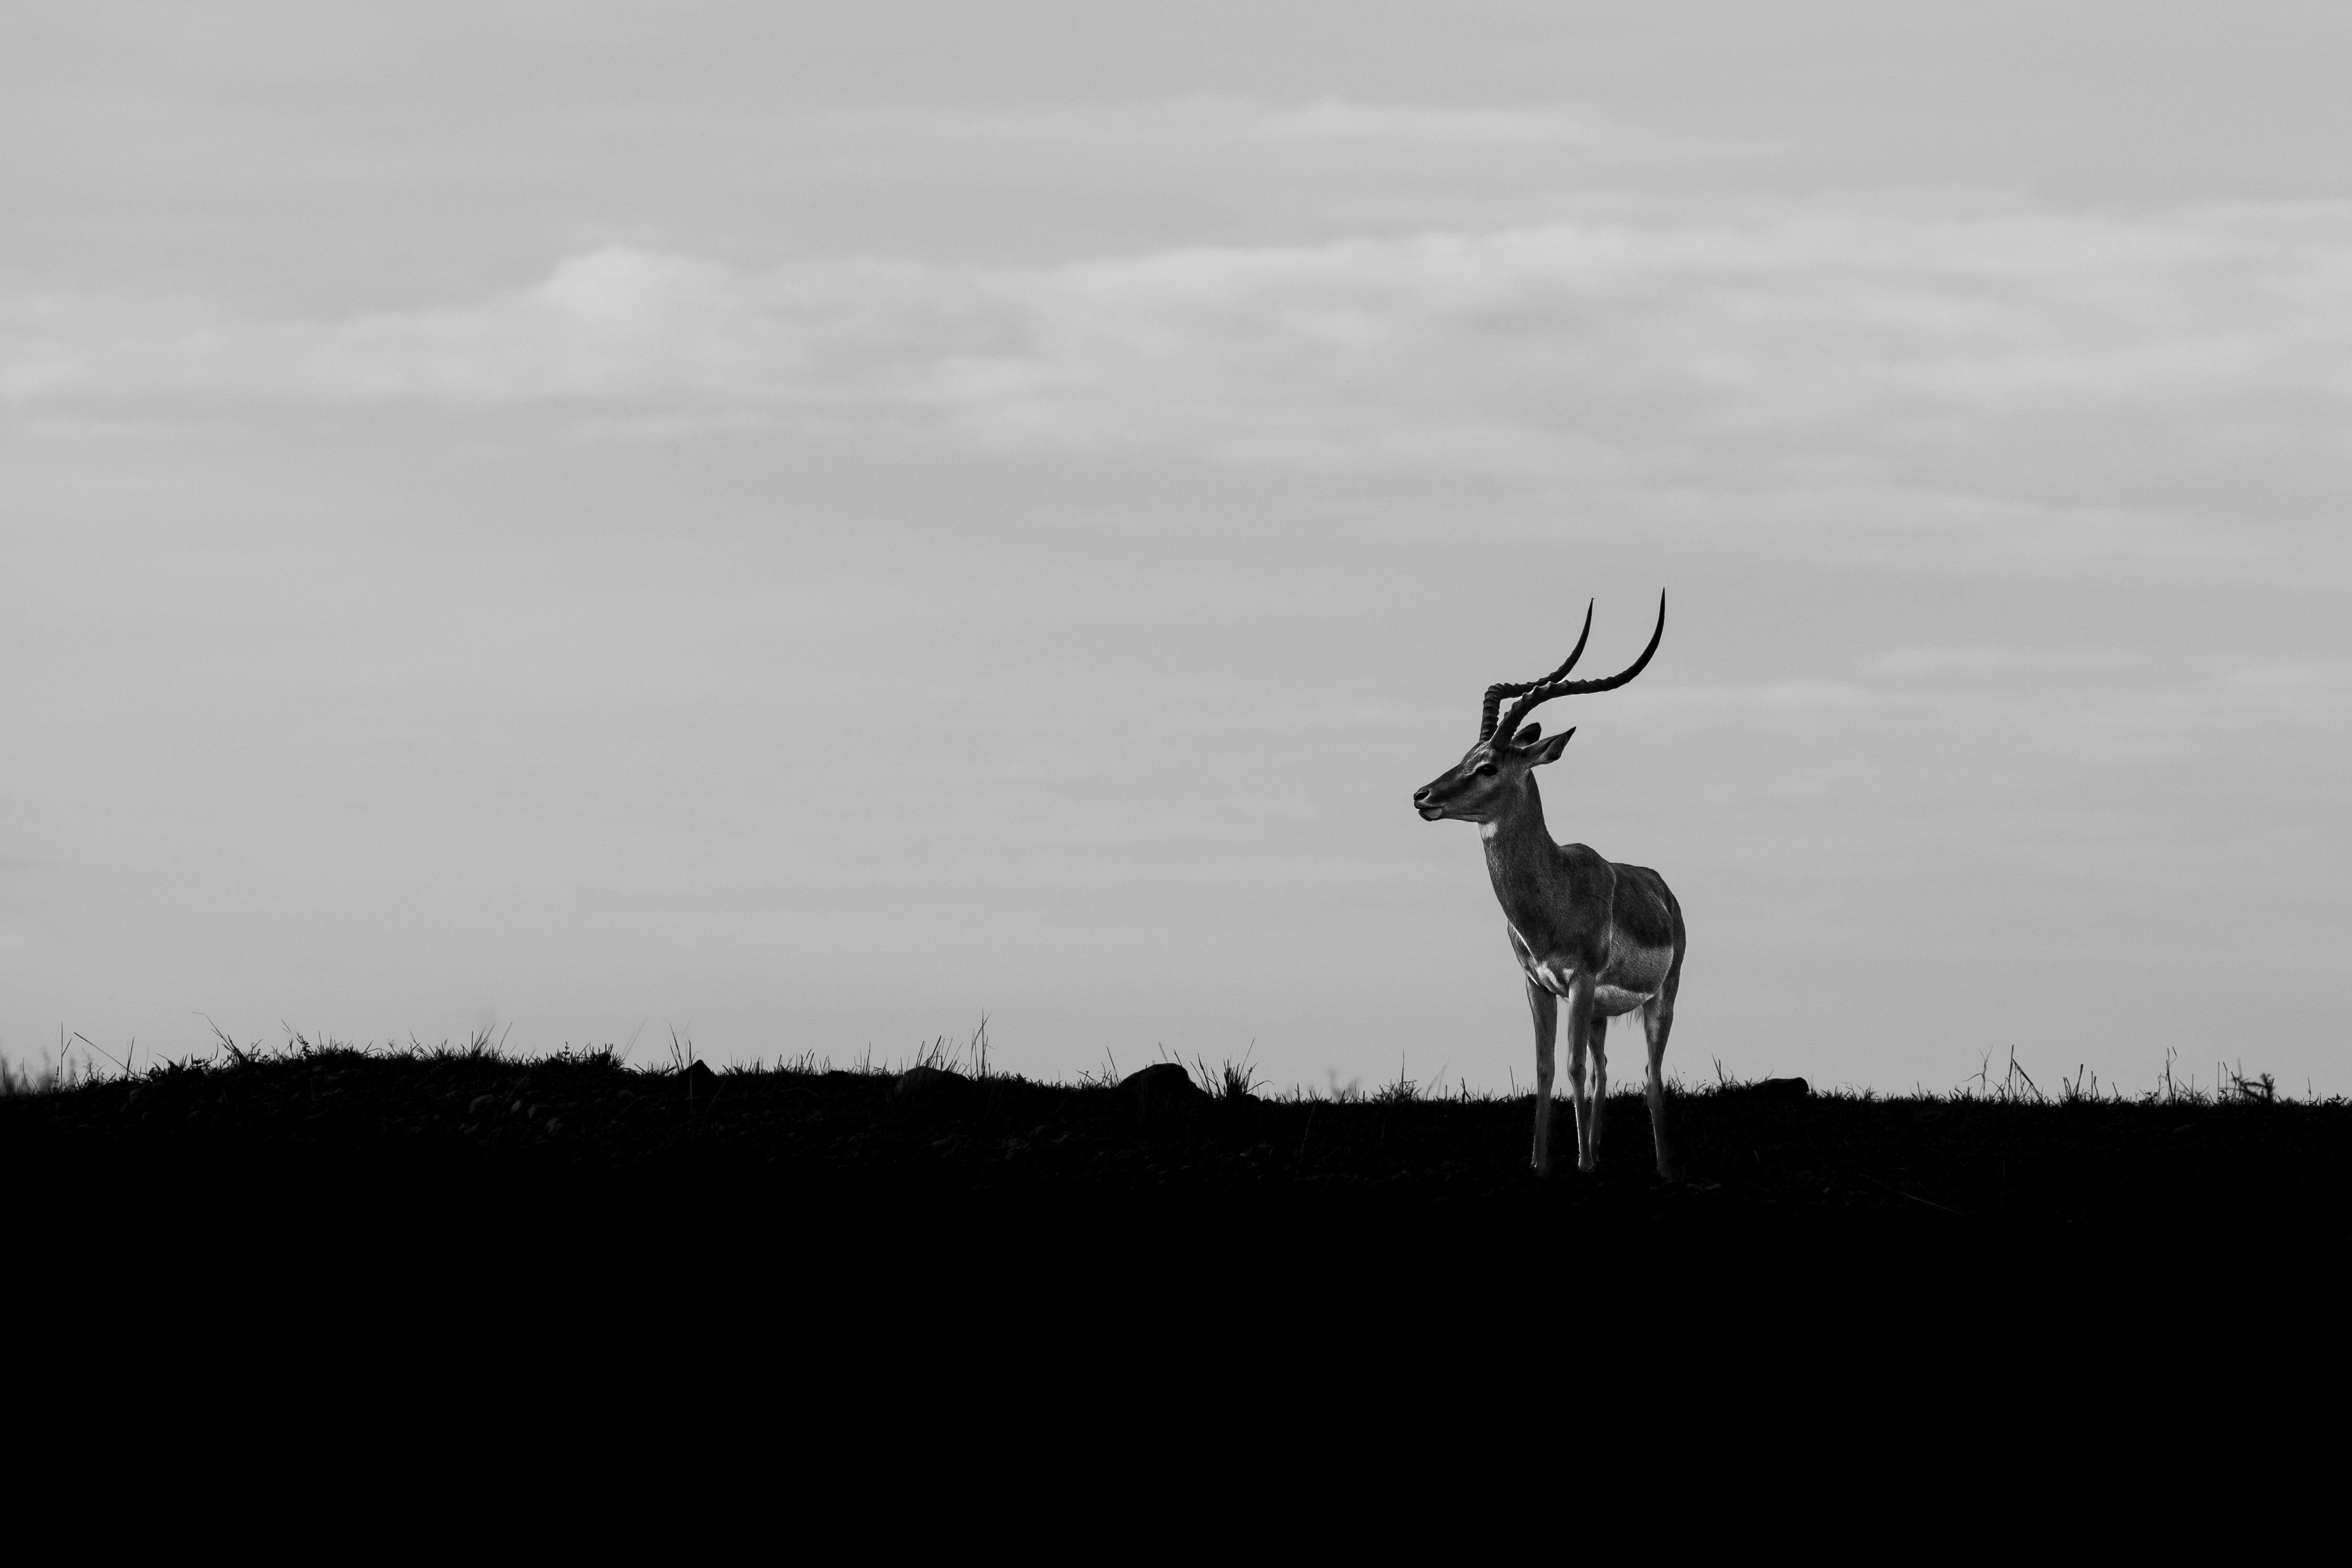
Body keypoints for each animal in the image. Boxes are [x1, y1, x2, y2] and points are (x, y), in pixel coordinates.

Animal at [1413, 595, 1684, 1180]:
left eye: (1488, 766)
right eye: (1464, 755)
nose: (1422, 796)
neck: (1554, 891)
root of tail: (1662, 888)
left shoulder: (1580, 980)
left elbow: (1571, 1065)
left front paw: (1579, 1166)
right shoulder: (1536, 984)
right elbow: (1543, 1068)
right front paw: (1541, 1165)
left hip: (1662, 998)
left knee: (1649, 1076)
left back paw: (1663, 1170)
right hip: (1603, 1011)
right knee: (1605, 1068)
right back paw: (1601, 1151)